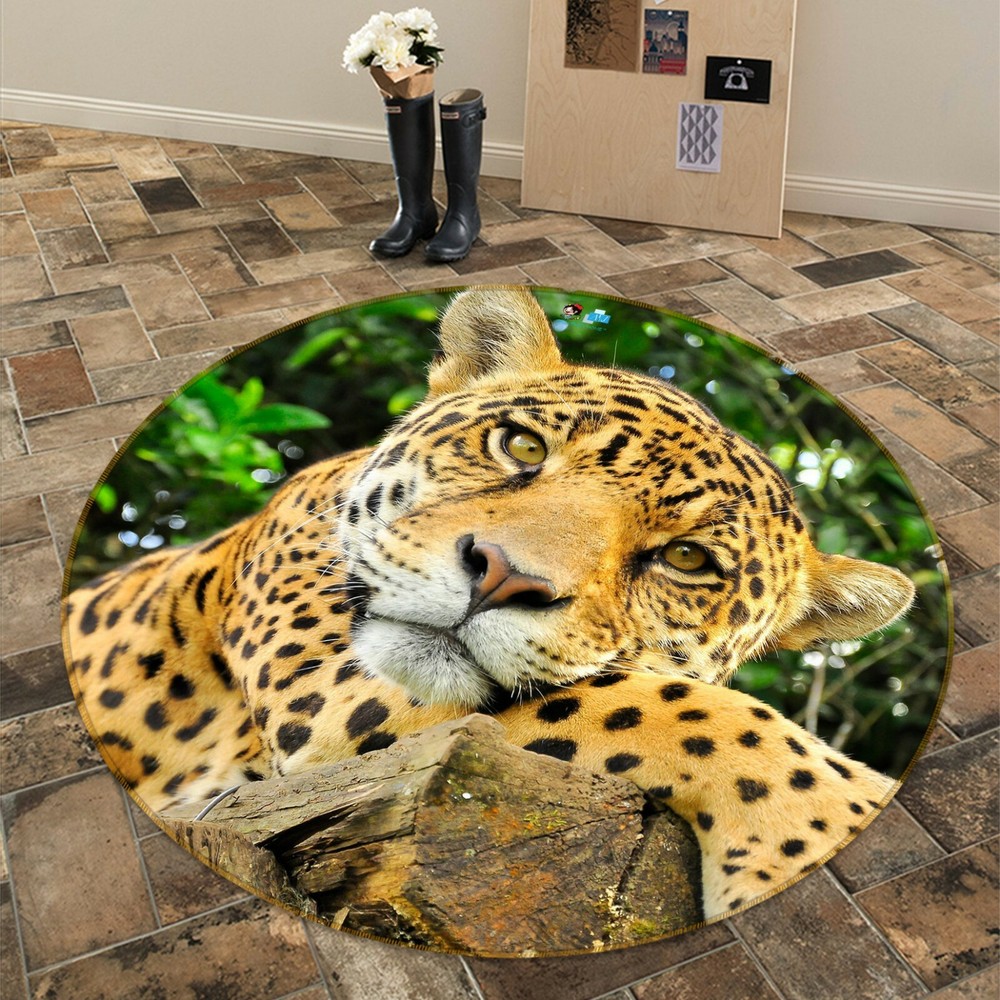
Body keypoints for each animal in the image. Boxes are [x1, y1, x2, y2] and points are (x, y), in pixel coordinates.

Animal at [63, 285, 916, 921]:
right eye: (522, 446)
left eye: (686, 559)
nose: (503, 577)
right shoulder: (324, 697)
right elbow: (666, 706)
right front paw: (827, 819)